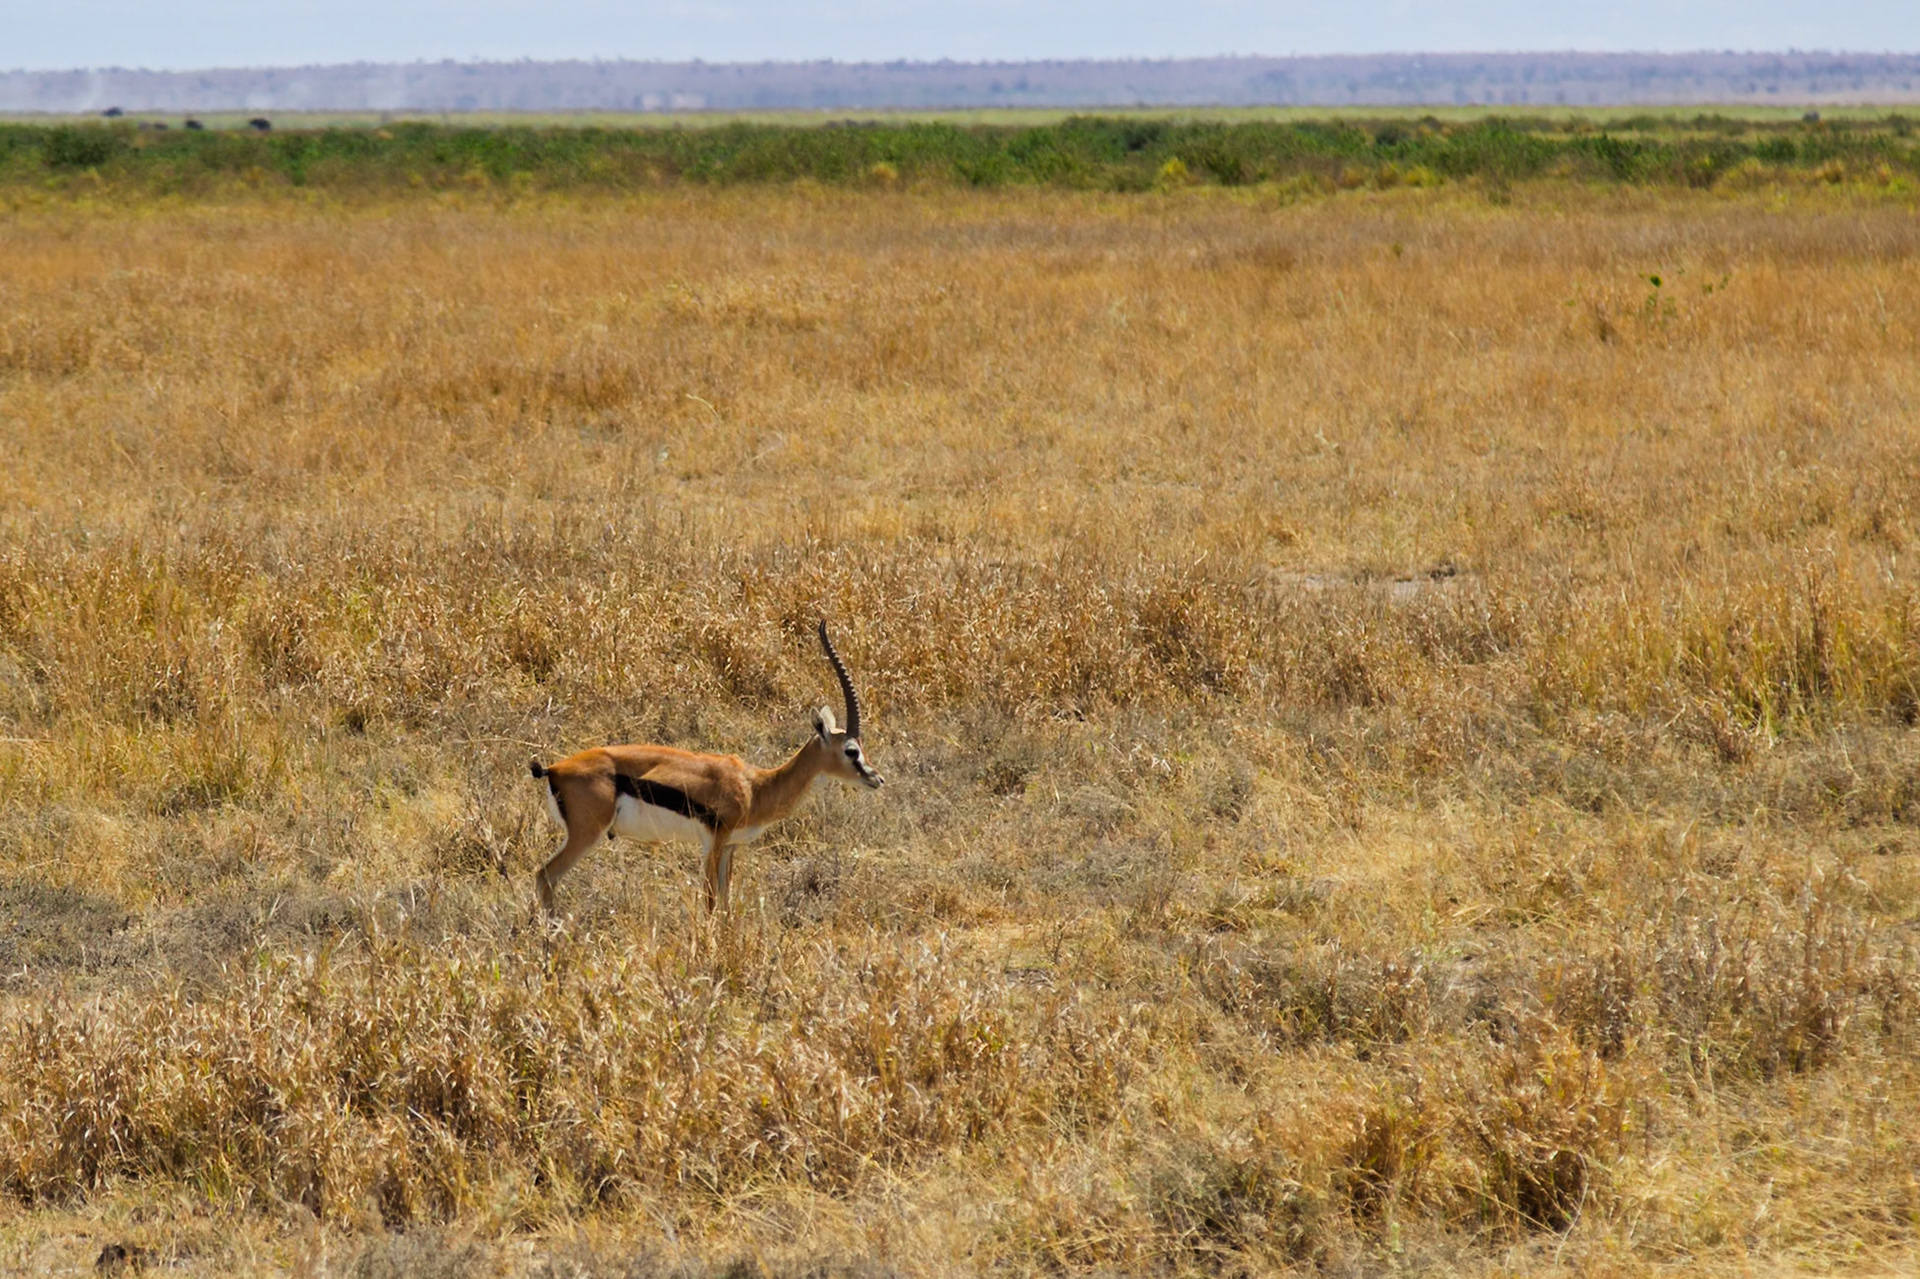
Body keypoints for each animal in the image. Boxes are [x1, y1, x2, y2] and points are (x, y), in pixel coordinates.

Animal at [528, 621, 884, 915]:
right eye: (851, 750)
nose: (876, 778)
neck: (755, 786)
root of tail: (554, 768)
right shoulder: (713, 842)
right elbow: (710, 901)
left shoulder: (730, 847)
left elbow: (725, 902)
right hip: (587, 834)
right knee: (545, 876)